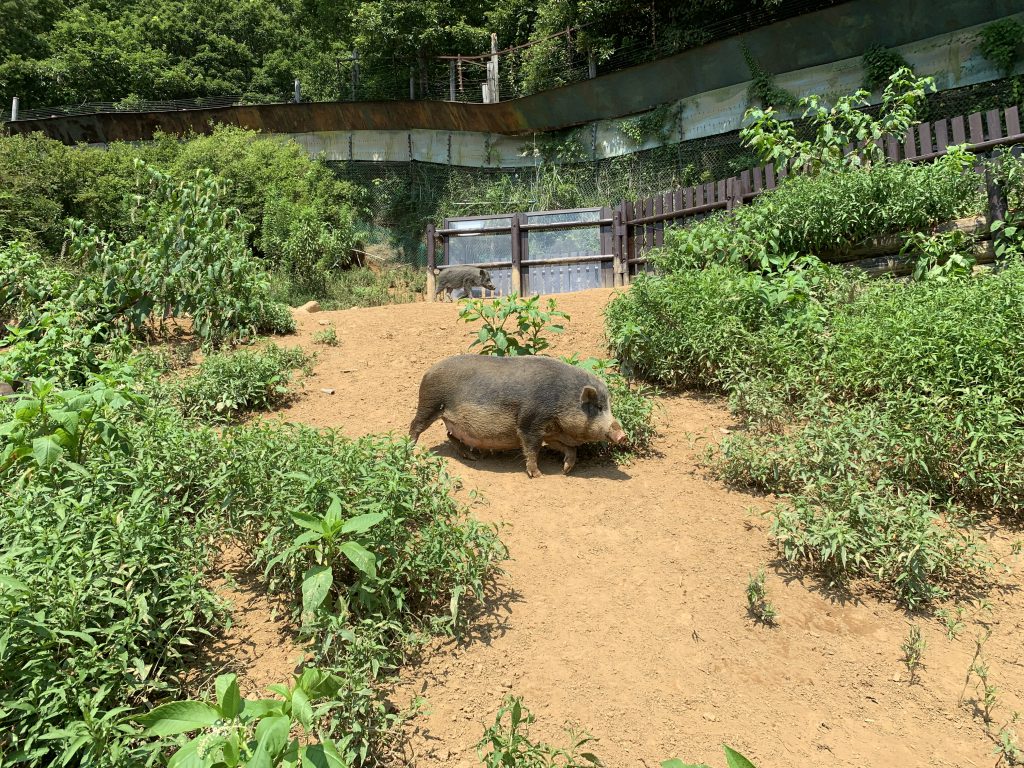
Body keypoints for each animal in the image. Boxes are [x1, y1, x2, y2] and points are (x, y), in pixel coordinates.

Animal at [411, 356, 626, 479]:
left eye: (608, 406)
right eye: (598, 407)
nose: (623, 435)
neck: (562, 399)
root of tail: (428, 371)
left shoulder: (551, 433)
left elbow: (570, 449)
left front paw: (566, 470)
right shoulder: (530, 423)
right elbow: (531, 448)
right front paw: (538, 475)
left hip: (451, 420)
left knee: (450, 435)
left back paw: (472, 457)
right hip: (429, 403)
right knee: (415, 425)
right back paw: (409, 449)